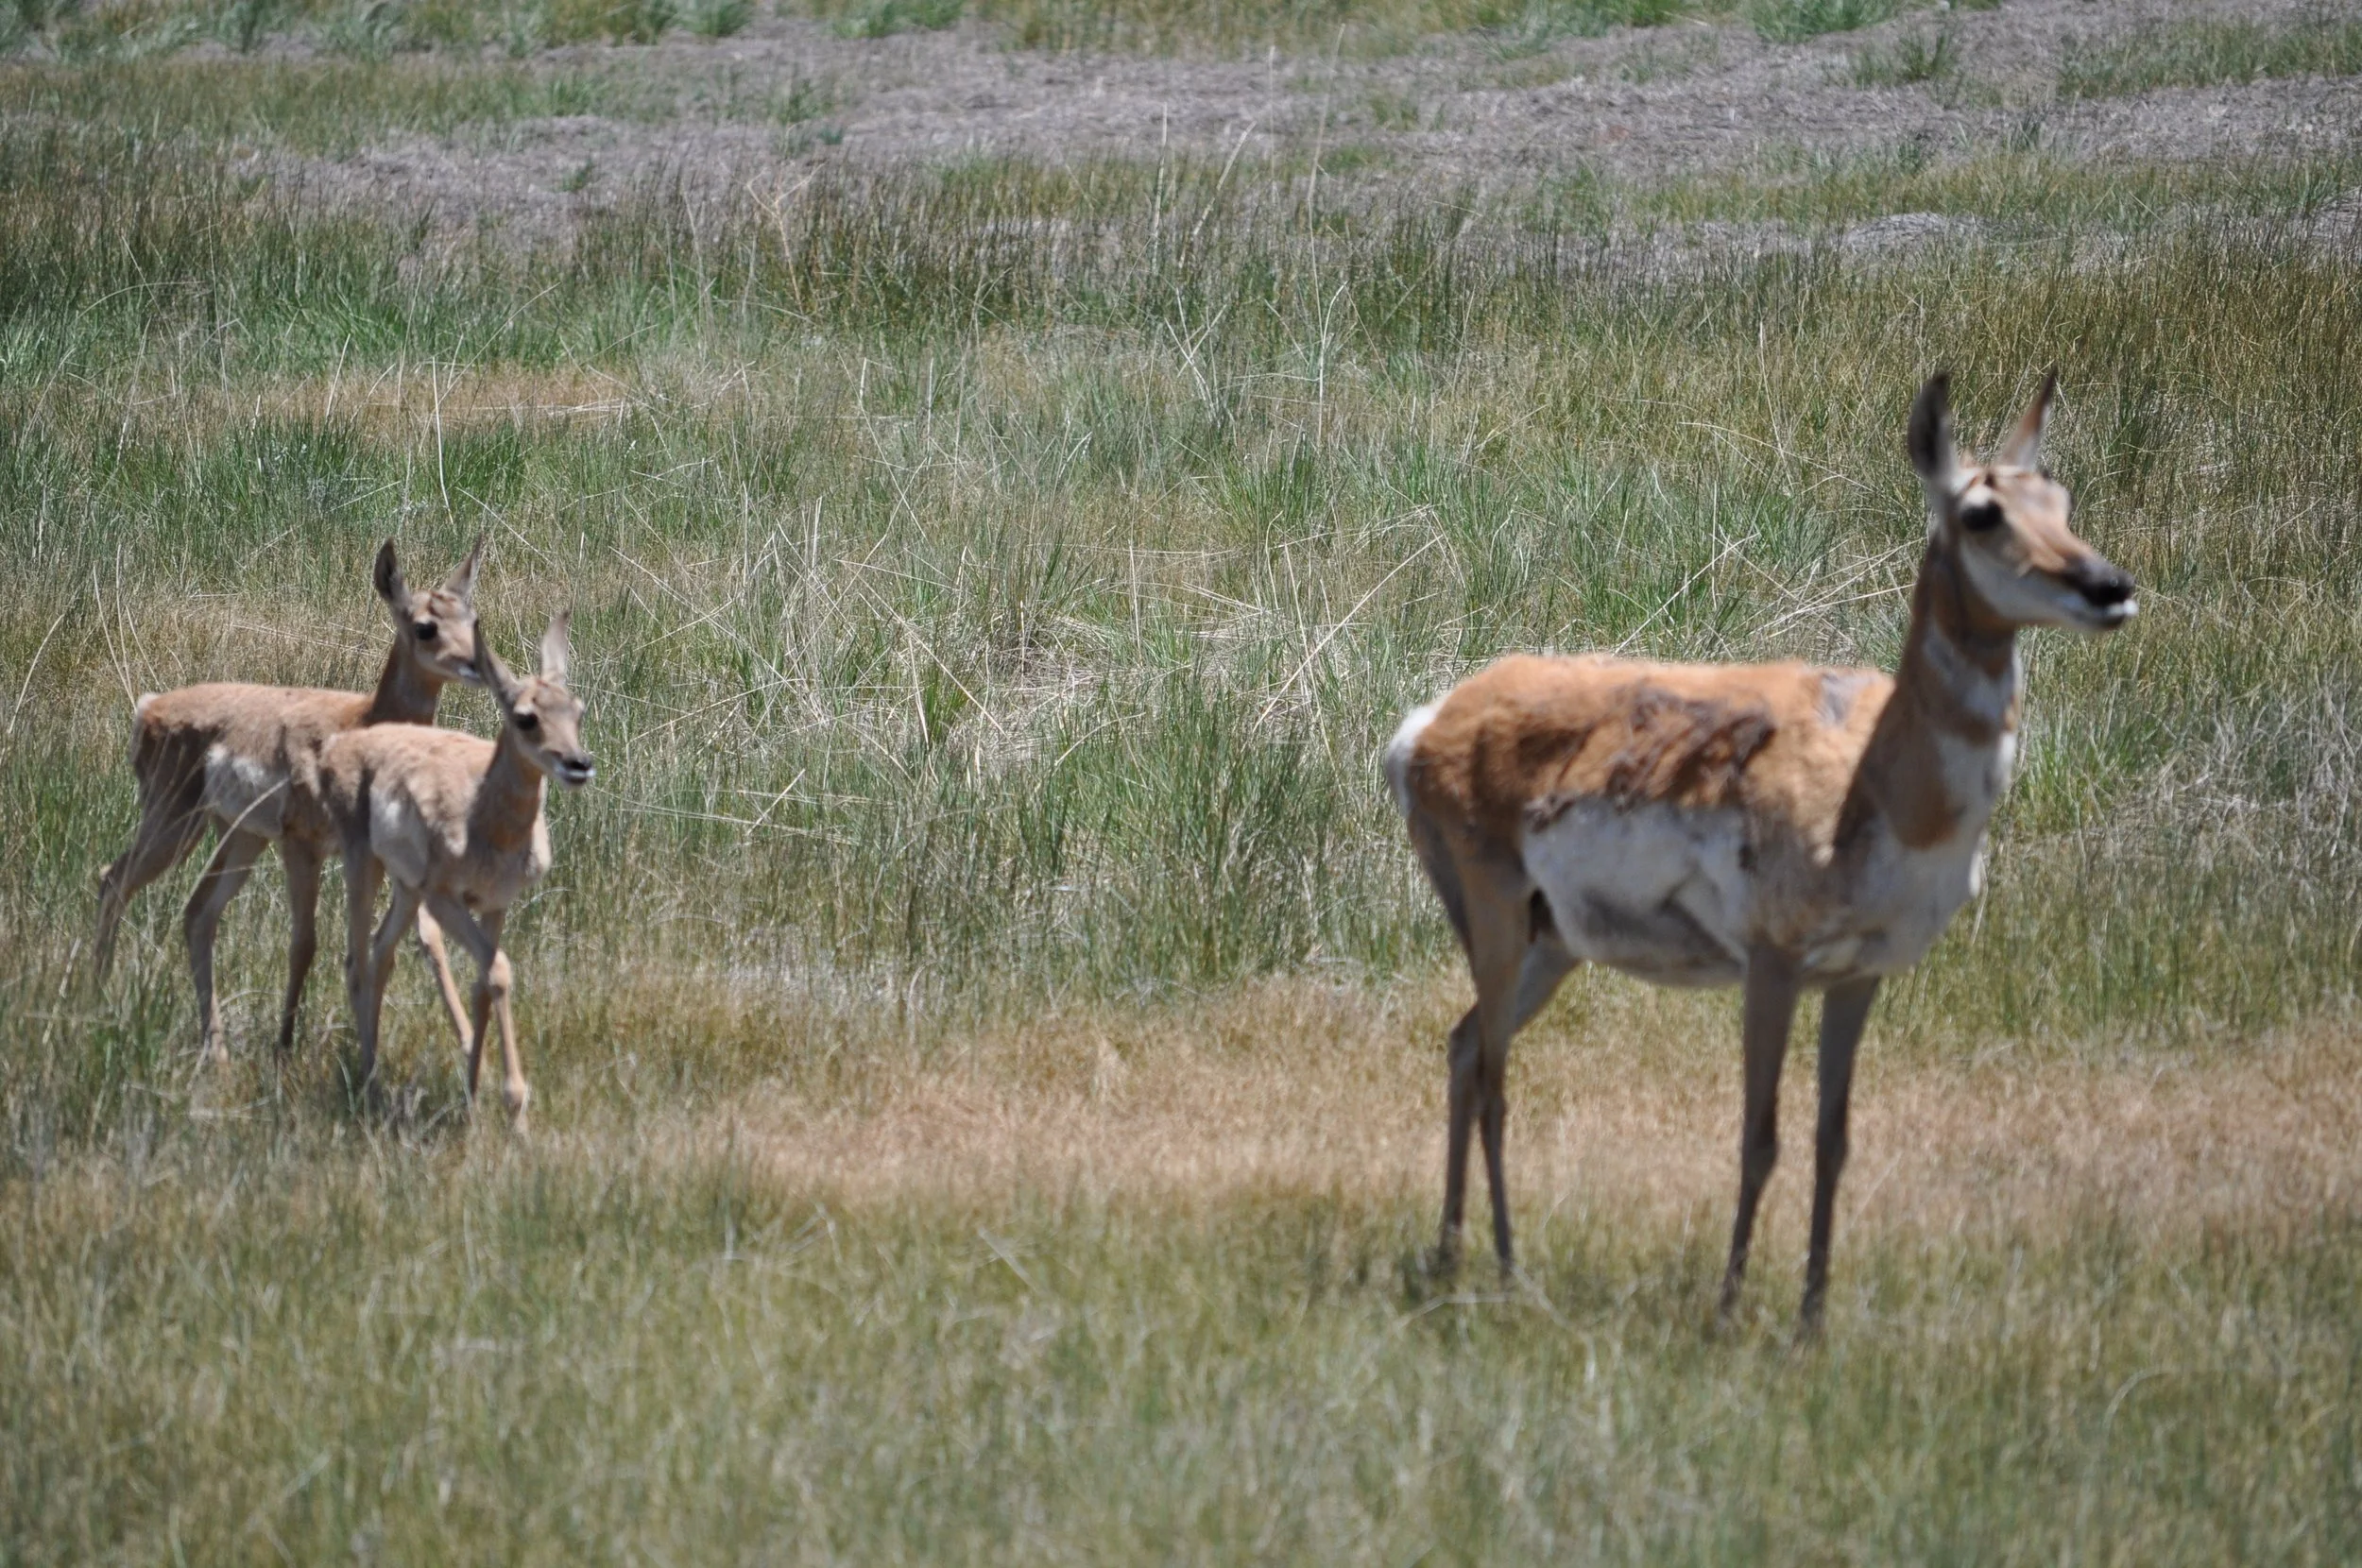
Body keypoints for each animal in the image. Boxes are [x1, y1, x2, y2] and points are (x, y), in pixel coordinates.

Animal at [93, 539, 486, 1067]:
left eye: (472, 618)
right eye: (425, 625)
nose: (476, 666)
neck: (361, 720)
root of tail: (150, 708)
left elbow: (426, 940)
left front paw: (464, 1042)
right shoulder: (304, 846)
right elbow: (305, 943)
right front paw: (284, 1046)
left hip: (239, 838)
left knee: (197, 913)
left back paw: (216, 1048)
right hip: (176, 825)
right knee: (114, 880)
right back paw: (96, 999)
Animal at [322, 614, 594, 1129]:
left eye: (577, 710)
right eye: (526, 716)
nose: (579, 764)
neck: (483, 822)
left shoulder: (495, 903)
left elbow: (483, 983)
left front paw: (475, 1099)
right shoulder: (447, 900)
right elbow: (500, 971)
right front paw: (512, 1105)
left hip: (407, 890)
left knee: (381, 952)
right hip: (368, 870)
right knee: (357, 961)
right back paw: (367, 1083)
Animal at [1383, 373, 2136, 1330]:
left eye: (2062, 500)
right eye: (1980, 513)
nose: (2110, 586)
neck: (1882, 791)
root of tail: (1426, 723)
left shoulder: (1859, 974)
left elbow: (1832, 1139)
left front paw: (1812, 1320)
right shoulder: (1773, 963)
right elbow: (1759, 1135)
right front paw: (1731, 1309)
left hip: (1551, 943)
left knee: (1462, 1047)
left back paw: (1453, 1256)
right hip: (1494, 913)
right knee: (1493, 1075)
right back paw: (1508, 1274)